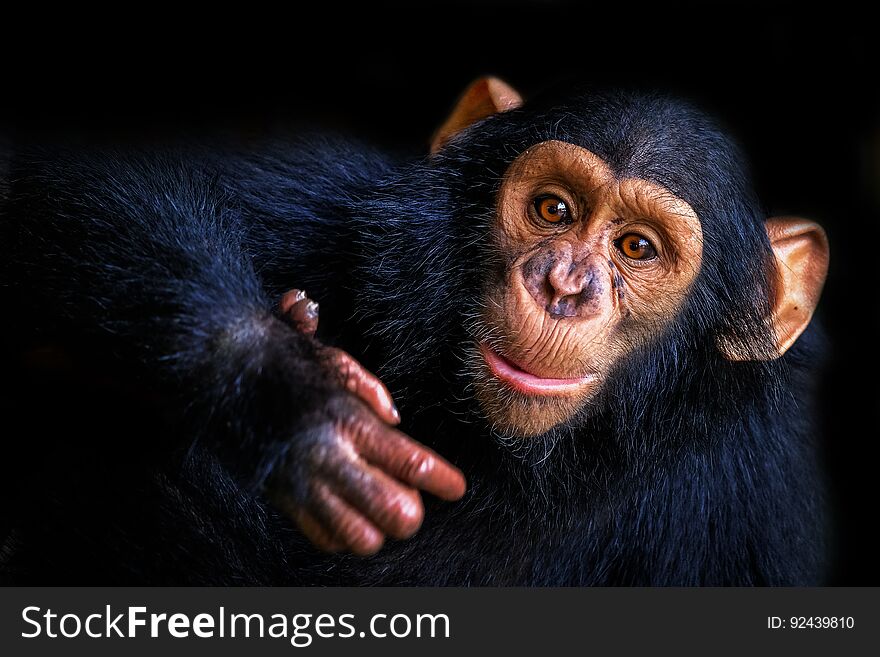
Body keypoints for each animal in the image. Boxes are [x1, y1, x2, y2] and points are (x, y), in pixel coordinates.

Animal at [0, 78, 824, 584]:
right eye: (554, 209)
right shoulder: (342, 205)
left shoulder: (750, 492)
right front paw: (295, 396)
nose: (562, 287)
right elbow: (72, 171)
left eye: (637, 248)